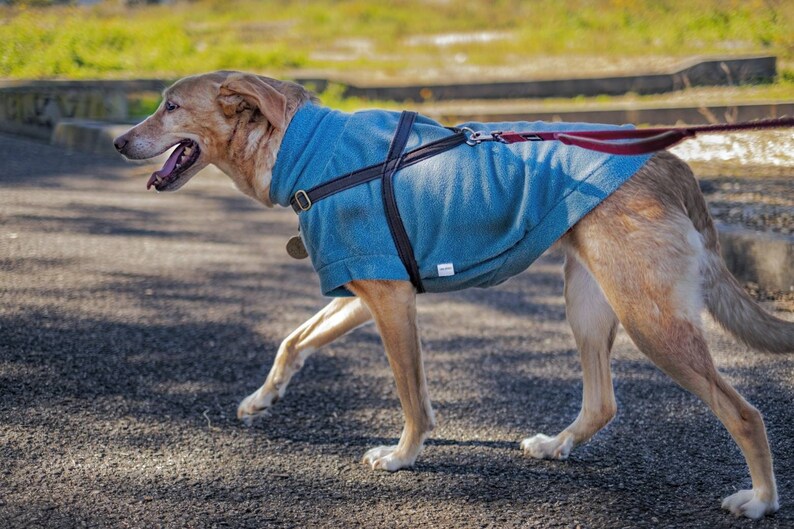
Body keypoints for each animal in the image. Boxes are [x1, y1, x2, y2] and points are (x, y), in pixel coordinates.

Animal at [113, 71, 792, 520]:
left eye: (170, 106)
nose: (119, 142)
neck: (301, 147)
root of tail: (671, 164)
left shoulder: (391, 303)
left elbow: (411, 394)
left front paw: (403, 456)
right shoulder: (361, 289)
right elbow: (293, 340)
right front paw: (263, 398)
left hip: (650, 319)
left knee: (744, 412)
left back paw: (760, 499)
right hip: (590, 303)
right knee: (602, 403)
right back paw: (558, 445)